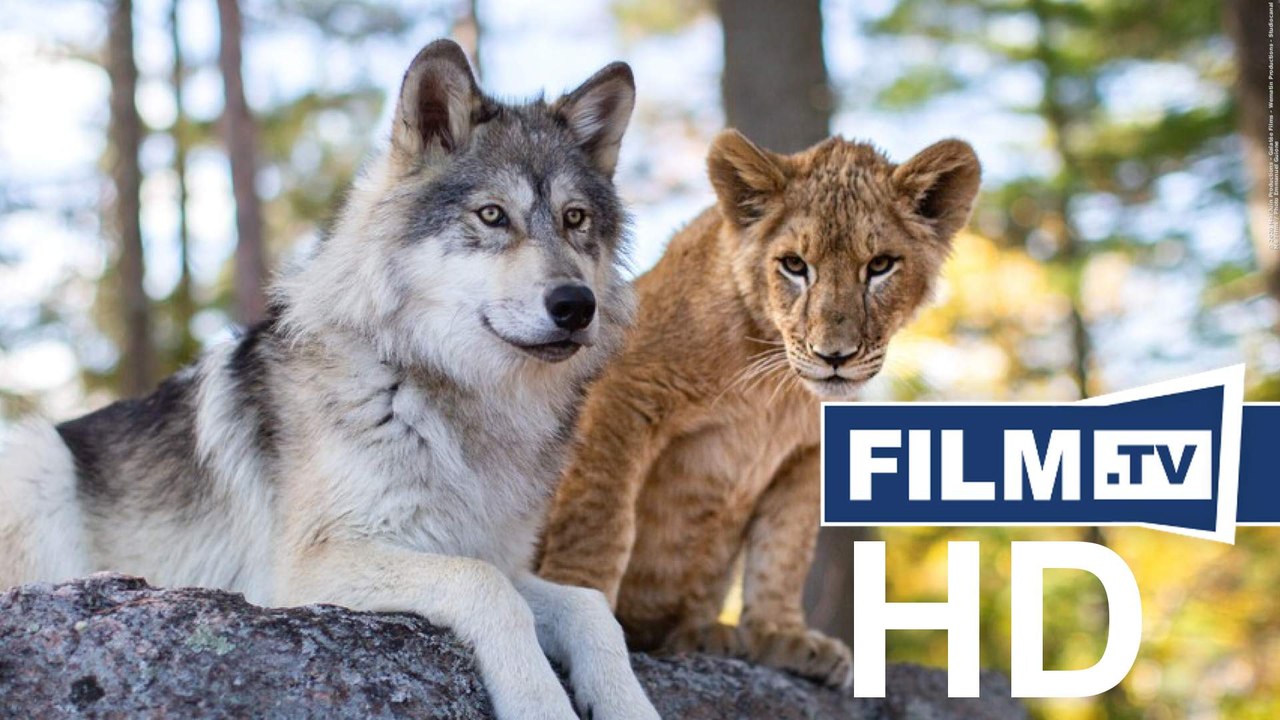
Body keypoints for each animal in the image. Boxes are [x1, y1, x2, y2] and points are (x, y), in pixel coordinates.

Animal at [0, 39, 659, 720]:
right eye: (493, 215)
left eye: (575, 219)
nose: (575, 305)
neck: (450, 396)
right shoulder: (303, 570)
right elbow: (487, 587)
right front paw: (540, 702)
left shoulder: (490, 550)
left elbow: (590, 608)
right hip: (35, 459)